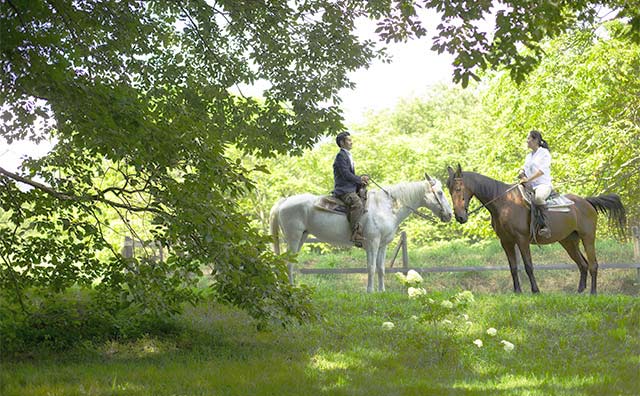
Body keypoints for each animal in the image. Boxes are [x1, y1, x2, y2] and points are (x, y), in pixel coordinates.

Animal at [268, 175, 452, 292]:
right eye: (440, 192)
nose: (450, 215)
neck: (384, 207)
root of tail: (284, 201)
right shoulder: (372, 243)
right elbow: (371, 267)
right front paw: (370, 291)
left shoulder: (383, 245)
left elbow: (381, 268)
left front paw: (382, 291)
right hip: (293, 238)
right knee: (288, 263)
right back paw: (290, 288)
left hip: (301, 237)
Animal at [444, 164, 624, 294]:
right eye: (449, 190)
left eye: (458, 189)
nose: (460, 217)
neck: (504, 203)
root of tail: (587, 202)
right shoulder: (506, 242)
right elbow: (513, 267)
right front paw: (517, 291)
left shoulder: (522, 240)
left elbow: (528, 266)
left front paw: (535, 290)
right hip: (569, 242)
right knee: (582, 264)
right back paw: (579, 292)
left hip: (588, 238)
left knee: (593, 265)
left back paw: (593, 293)